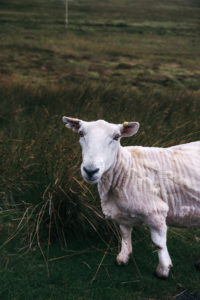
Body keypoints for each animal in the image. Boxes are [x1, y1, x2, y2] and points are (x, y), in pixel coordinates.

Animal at [61, 117, 200, 278]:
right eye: (81, 133)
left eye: (116, 137)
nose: (90, 170)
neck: (124, 168)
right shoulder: (121, 212)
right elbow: (125, 235)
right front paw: (123, 258)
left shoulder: (156, 211)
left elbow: (158, 243)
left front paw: (163, 270)